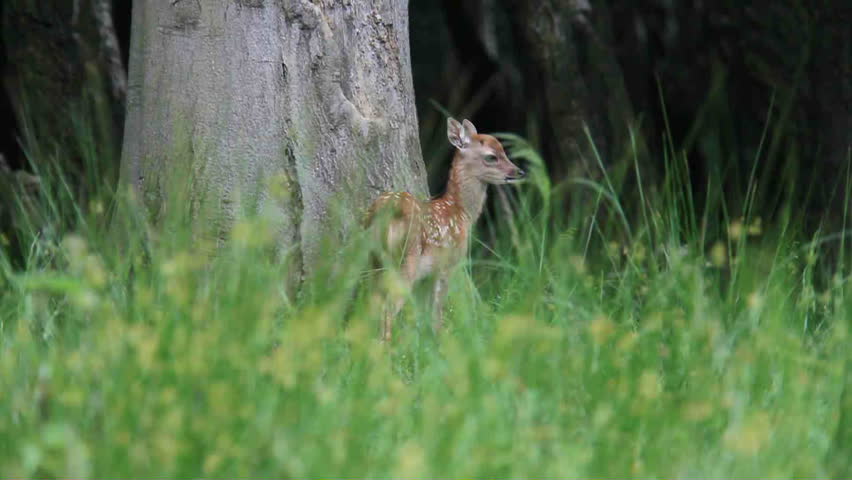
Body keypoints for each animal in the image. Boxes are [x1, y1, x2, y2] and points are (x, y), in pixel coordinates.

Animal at [365, 118, 525, 342]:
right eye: (492, 157)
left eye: (503, 150)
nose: (519, 172)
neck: (461, 212)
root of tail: (386, 212)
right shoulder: (449, 264)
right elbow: (436, 310)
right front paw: (439, 338)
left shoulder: (428, 274)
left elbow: (423, 311)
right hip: (407, 259)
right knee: (389, 307)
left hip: (374, 260)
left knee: (372, 304)